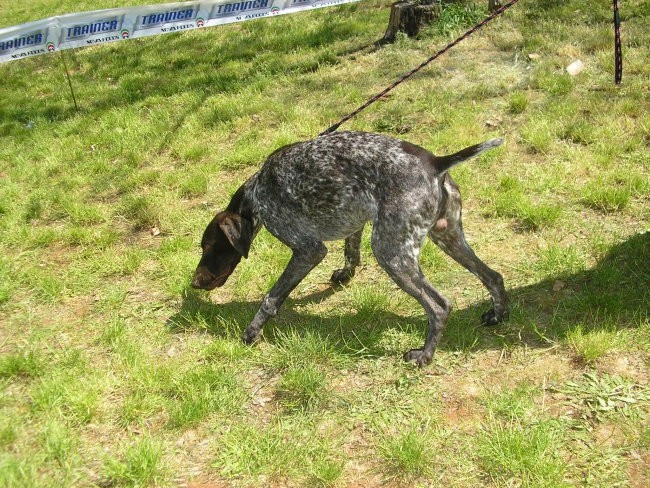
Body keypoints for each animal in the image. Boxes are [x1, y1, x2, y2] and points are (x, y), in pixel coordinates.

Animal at [191, 131, 506, 366]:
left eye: (209, 247)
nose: (193, 283)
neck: (257, 191)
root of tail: (436, 163)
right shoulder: (356, 221)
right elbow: (350, 250)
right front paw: (345, 274)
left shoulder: (307, 250)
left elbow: (271, 297)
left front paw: (252, 331)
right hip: (447, 236)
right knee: (493, 276)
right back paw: (497, 315)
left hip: (391, 254)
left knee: (440, 307)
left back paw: (424, 355)